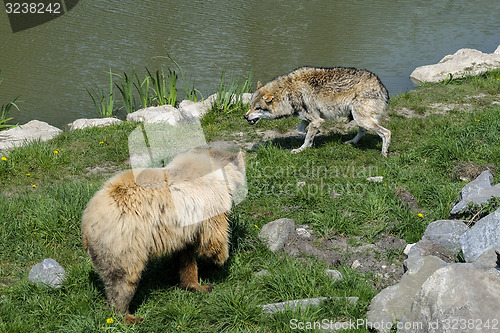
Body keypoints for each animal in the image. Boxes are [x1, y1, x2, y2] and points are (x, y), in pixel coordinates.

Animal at [80, 147, 246, 322]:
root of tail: (86, 222)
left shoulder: (182, 227)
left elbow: (185, 255)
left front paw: (197, 285)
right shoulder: (209, 201)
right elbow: (213, 235)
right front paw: (219, 260)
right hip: (123, 241)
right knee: (123, 278)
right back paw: (129, 316)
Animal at [244, 67, 392, 157]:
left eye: (257, 108)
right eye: (251, 106)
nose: (245, 117)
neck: (287, 92)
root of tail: (381, 85)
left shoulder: (316, 120)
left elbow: (306, 138)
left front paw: (300, 149)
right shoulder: (309, 118)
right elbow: (300, 130)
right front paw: (314, 135)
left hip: (362, 119)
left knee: (386, 133)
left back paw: (384, 153)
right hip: (359, 119)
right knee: (363, 131)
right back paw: (351, 142)